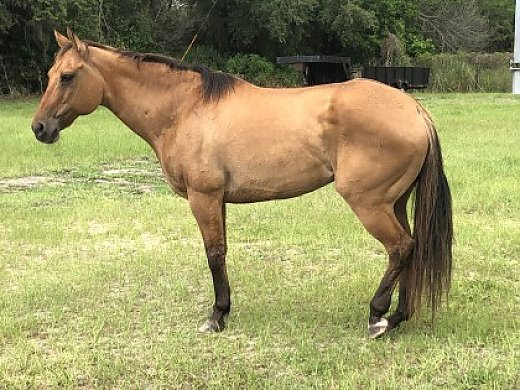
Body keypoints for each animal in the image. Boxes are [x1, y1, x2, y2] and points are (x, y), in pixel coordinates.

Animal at [30, 29, 450, 338]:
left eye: (67, 77)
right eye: (50, 76)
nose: (39, 128)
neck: (184, 109)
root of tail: (414, 109)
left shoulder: (203, 197)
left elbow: (214, 254)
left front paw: (216, 316)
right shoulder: (218, 200)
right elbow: (222, 252)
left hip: (369, 203)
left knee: (401, 247)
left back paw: (379, 317)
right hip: (394, 202)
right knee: (411, 249)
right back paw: (399, 315)